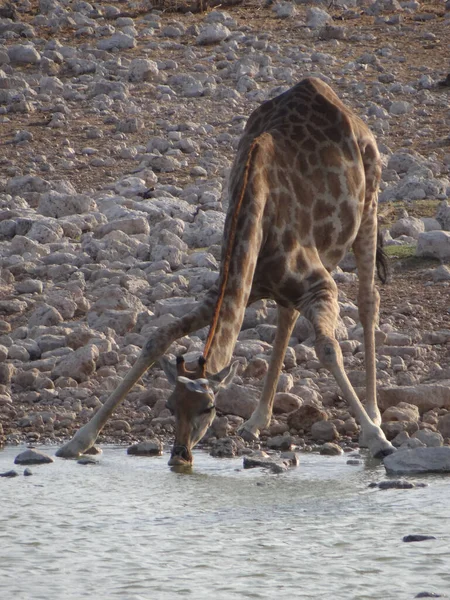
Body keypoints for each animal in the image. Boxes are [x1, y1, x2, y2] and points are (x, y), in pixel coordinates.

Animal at [55, 77, 394, 464]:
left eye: (209, 408)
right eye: (170, 406)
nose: (179, 455)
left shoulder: (320, 286)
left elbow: (327, 348)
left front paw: (377, 439)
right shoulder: (228, 288)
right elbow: (157, 338)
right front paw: (78, 440)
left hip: (369, 205)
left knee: (368, 299)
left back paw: (374, 413)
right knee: (287, 316)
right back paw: (257, 420)